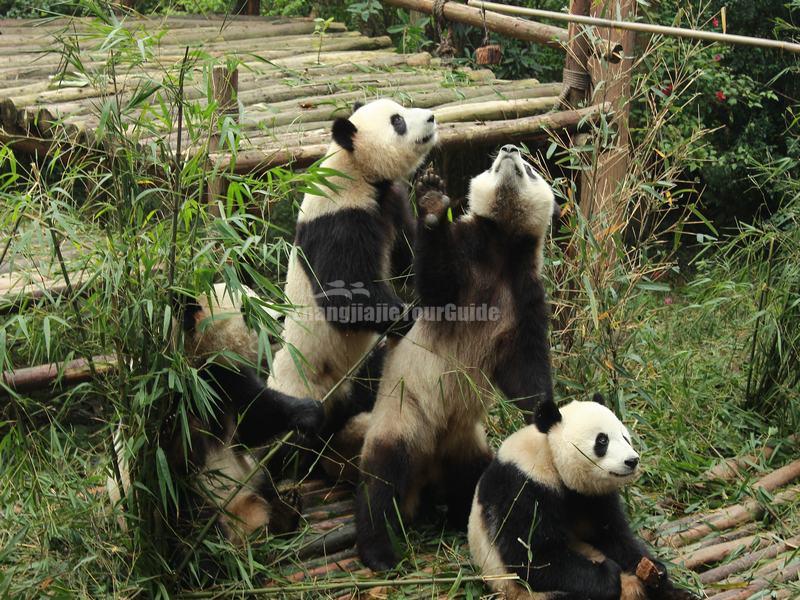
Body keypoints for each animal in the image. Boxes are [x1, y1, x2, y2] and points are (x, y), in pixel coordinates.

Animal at [108, 284, 324, 548]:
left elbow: (254, 422)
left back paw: (285, 510)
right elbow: (165, 449)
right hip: (185, 507)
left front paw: (310, 414)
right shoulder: (172, 393)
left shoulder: (227, 383)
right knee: (189, 525)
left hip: (253, 476)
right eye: (247, 310)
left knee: (268, 479)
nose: (281, 317)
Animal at [268, 96, 438, 476]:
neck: (358, 171)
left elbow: (413, 260)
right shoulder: (340, 220)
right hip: (306, 385)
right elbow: (344, 299)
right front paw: (407, 313)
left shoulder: (390, 204)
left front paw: (434, 196)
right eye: (397, 121)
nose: (432, 118)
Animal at [354, 143, 560, 568]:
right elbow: (436, 283)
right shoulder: (465, 262)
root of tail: (426, 474)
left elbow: (524, 367)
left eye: (531, 169)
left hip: (464, 441)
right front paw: (432, 198)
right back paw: (378, 551)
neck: (501, 244)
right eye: (495, 163)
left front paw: (544, 411)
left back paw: (458, 515)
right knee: (381, 483)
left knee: (474, 474)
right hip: (401, 418)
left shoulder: (525, 291)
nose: (509, 148)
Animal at [472, 394, 692, 600]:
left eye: (625, 437)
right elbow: (532, 558)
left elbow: (613, 536)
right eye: (602, 440)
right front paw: (609, 575)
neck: (549, 456)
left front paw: (654, 569)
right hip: (529, 593)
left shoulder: (593, 496)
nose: (632, 461)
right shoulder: (522, 489)